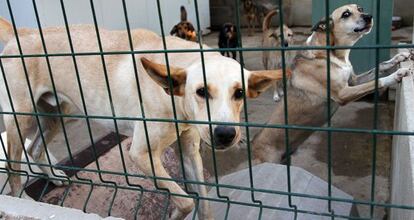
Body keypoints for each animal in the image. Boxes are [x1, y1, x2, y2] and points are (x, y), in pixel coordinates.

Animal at [0, 17, 290, 220]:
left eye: (239, 93)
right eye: (201, 92)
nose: (225, 135)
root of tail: (21, 32)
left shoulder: (189, 150)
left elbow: (204, 202)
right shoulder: (141, 154)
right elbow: (186, 200)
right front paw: (175, 213)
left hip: (58, 114)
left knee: (34, 149)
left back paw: (54, 176)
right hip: (20, 118)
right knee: (14, 167)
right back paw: (21, 198)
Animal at [252, 4, 414, 164]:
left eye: (360, 9)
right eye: (346, 14)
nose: (369, 16)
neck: (332, 54)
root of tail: (254, 146)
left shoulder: (353, 81)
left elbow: (379, 66)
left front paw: (399, 57)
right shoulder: (342, 94)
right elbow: (377, 81)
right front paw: (397, 74)